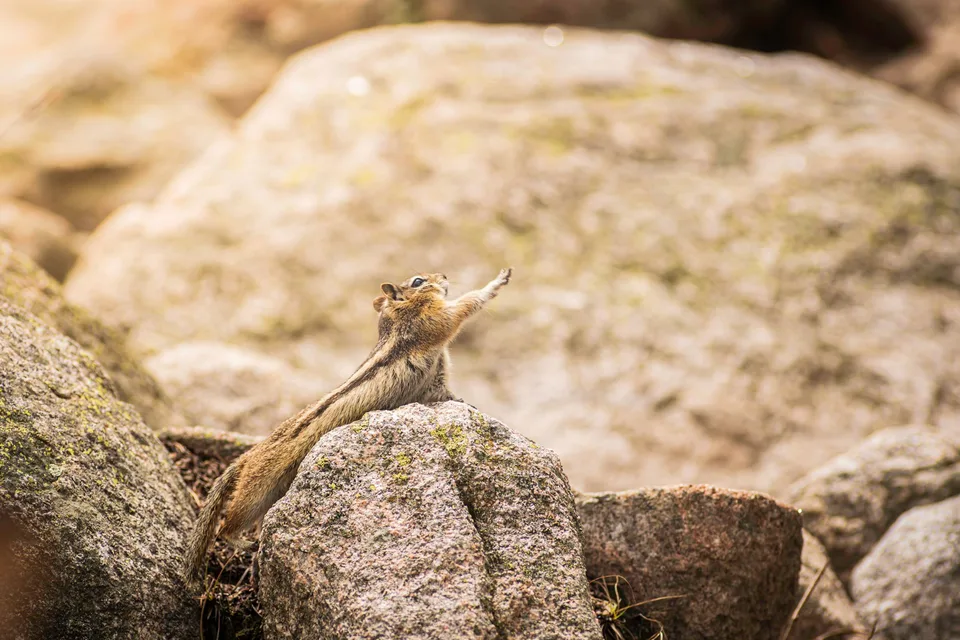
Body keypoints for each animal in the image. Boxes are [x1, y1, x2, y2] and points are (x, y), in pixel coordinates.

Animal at [182, 267, 513, 586]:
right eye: (419, 281)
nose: (444, 277)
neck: (398, 320)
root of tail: (247, 455)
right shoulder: (436, 322)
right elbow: (467, 305)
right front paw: (497, 281)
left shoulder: (435, 378)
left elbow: (443, 392)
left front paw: (464, 402)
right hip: (254, 492)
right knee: (226, 527)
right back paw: (242, 542)